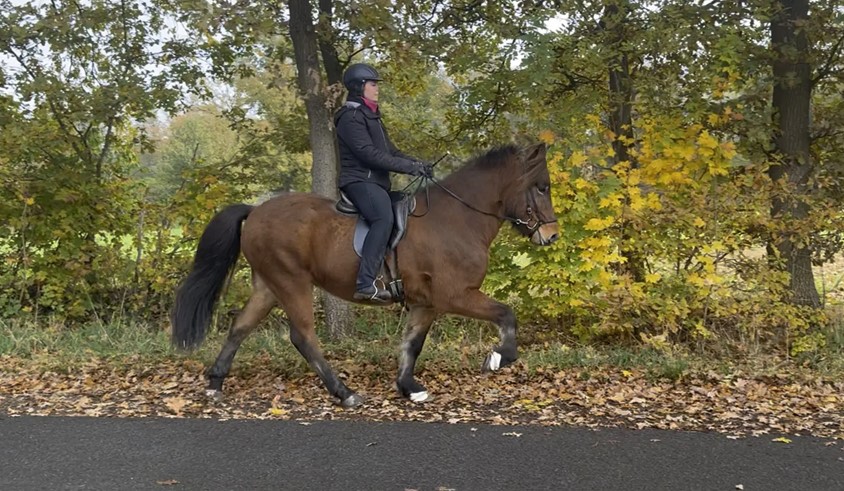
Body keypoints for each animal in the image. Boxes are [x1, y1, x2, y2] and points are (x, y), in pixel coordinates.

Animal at [171, 142, 560, 407]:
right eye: (542, 187)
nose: (552, 235)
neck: (457, 218)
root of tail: (255, 211)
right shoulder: (455, 295)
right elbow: (506, 314)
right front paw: (498, 357)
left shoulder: (426, 303)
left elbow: (412, 343)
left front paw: (409, 387)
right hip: (291, 282)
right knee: (303, 337)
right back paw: (344, 393)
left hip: (268, 285)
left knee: (241, 327)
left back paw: (215, 384)